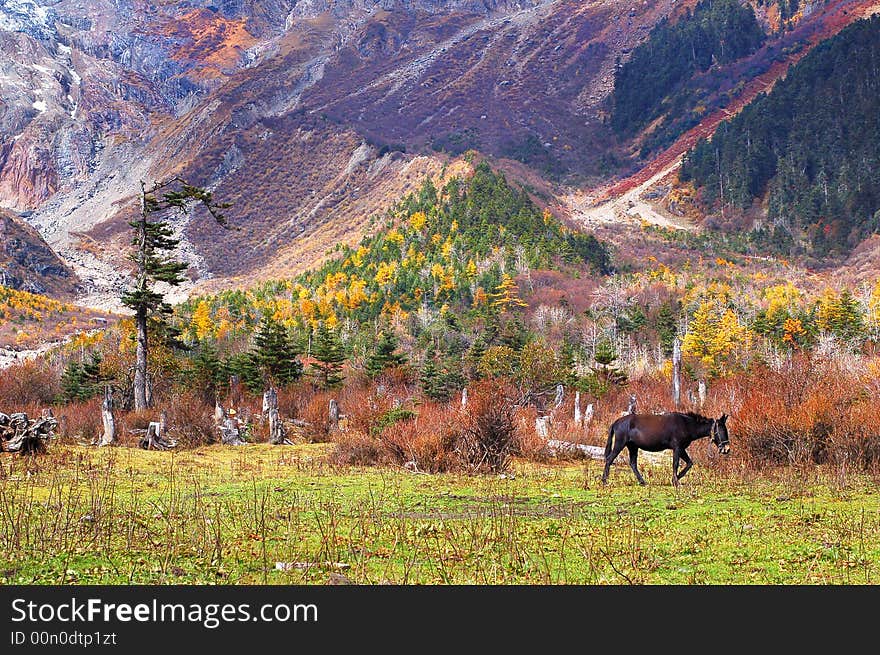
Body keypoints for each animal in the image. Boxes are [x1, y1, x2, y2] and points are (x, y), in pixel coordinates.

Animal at [600, 410, 732, 486]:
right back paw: (605, 481)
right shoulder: (677, 448)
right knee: (609, 459)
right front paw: (676, 482)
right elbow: (676, 464)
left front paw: (675, 479)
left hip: (633, 447)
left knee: (632, 463)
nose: (727, 449)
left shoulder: (682, 449)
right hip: (620, 444)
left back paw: (642, 482)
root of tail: (616, 422)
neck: (687, 425)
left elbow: (689, 463)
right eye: (721, 429)